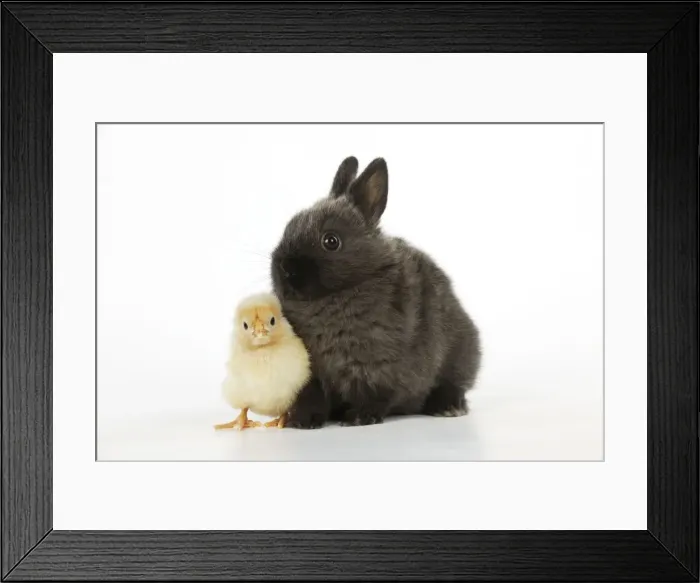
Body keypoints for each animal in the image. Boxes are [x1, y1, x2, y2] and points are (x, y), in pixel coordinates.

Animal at [270, 156, 481, 429]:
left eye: (331, 241)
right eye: (289, 227)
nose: (285, 268)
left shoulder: (378, 365)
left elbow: (375, 393)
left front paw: (361, 417)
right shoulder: (310, 370)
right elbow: (312, 396)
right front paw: (303, 420)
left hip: (460, 353)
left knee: (453, 384)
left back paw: (448, 407)